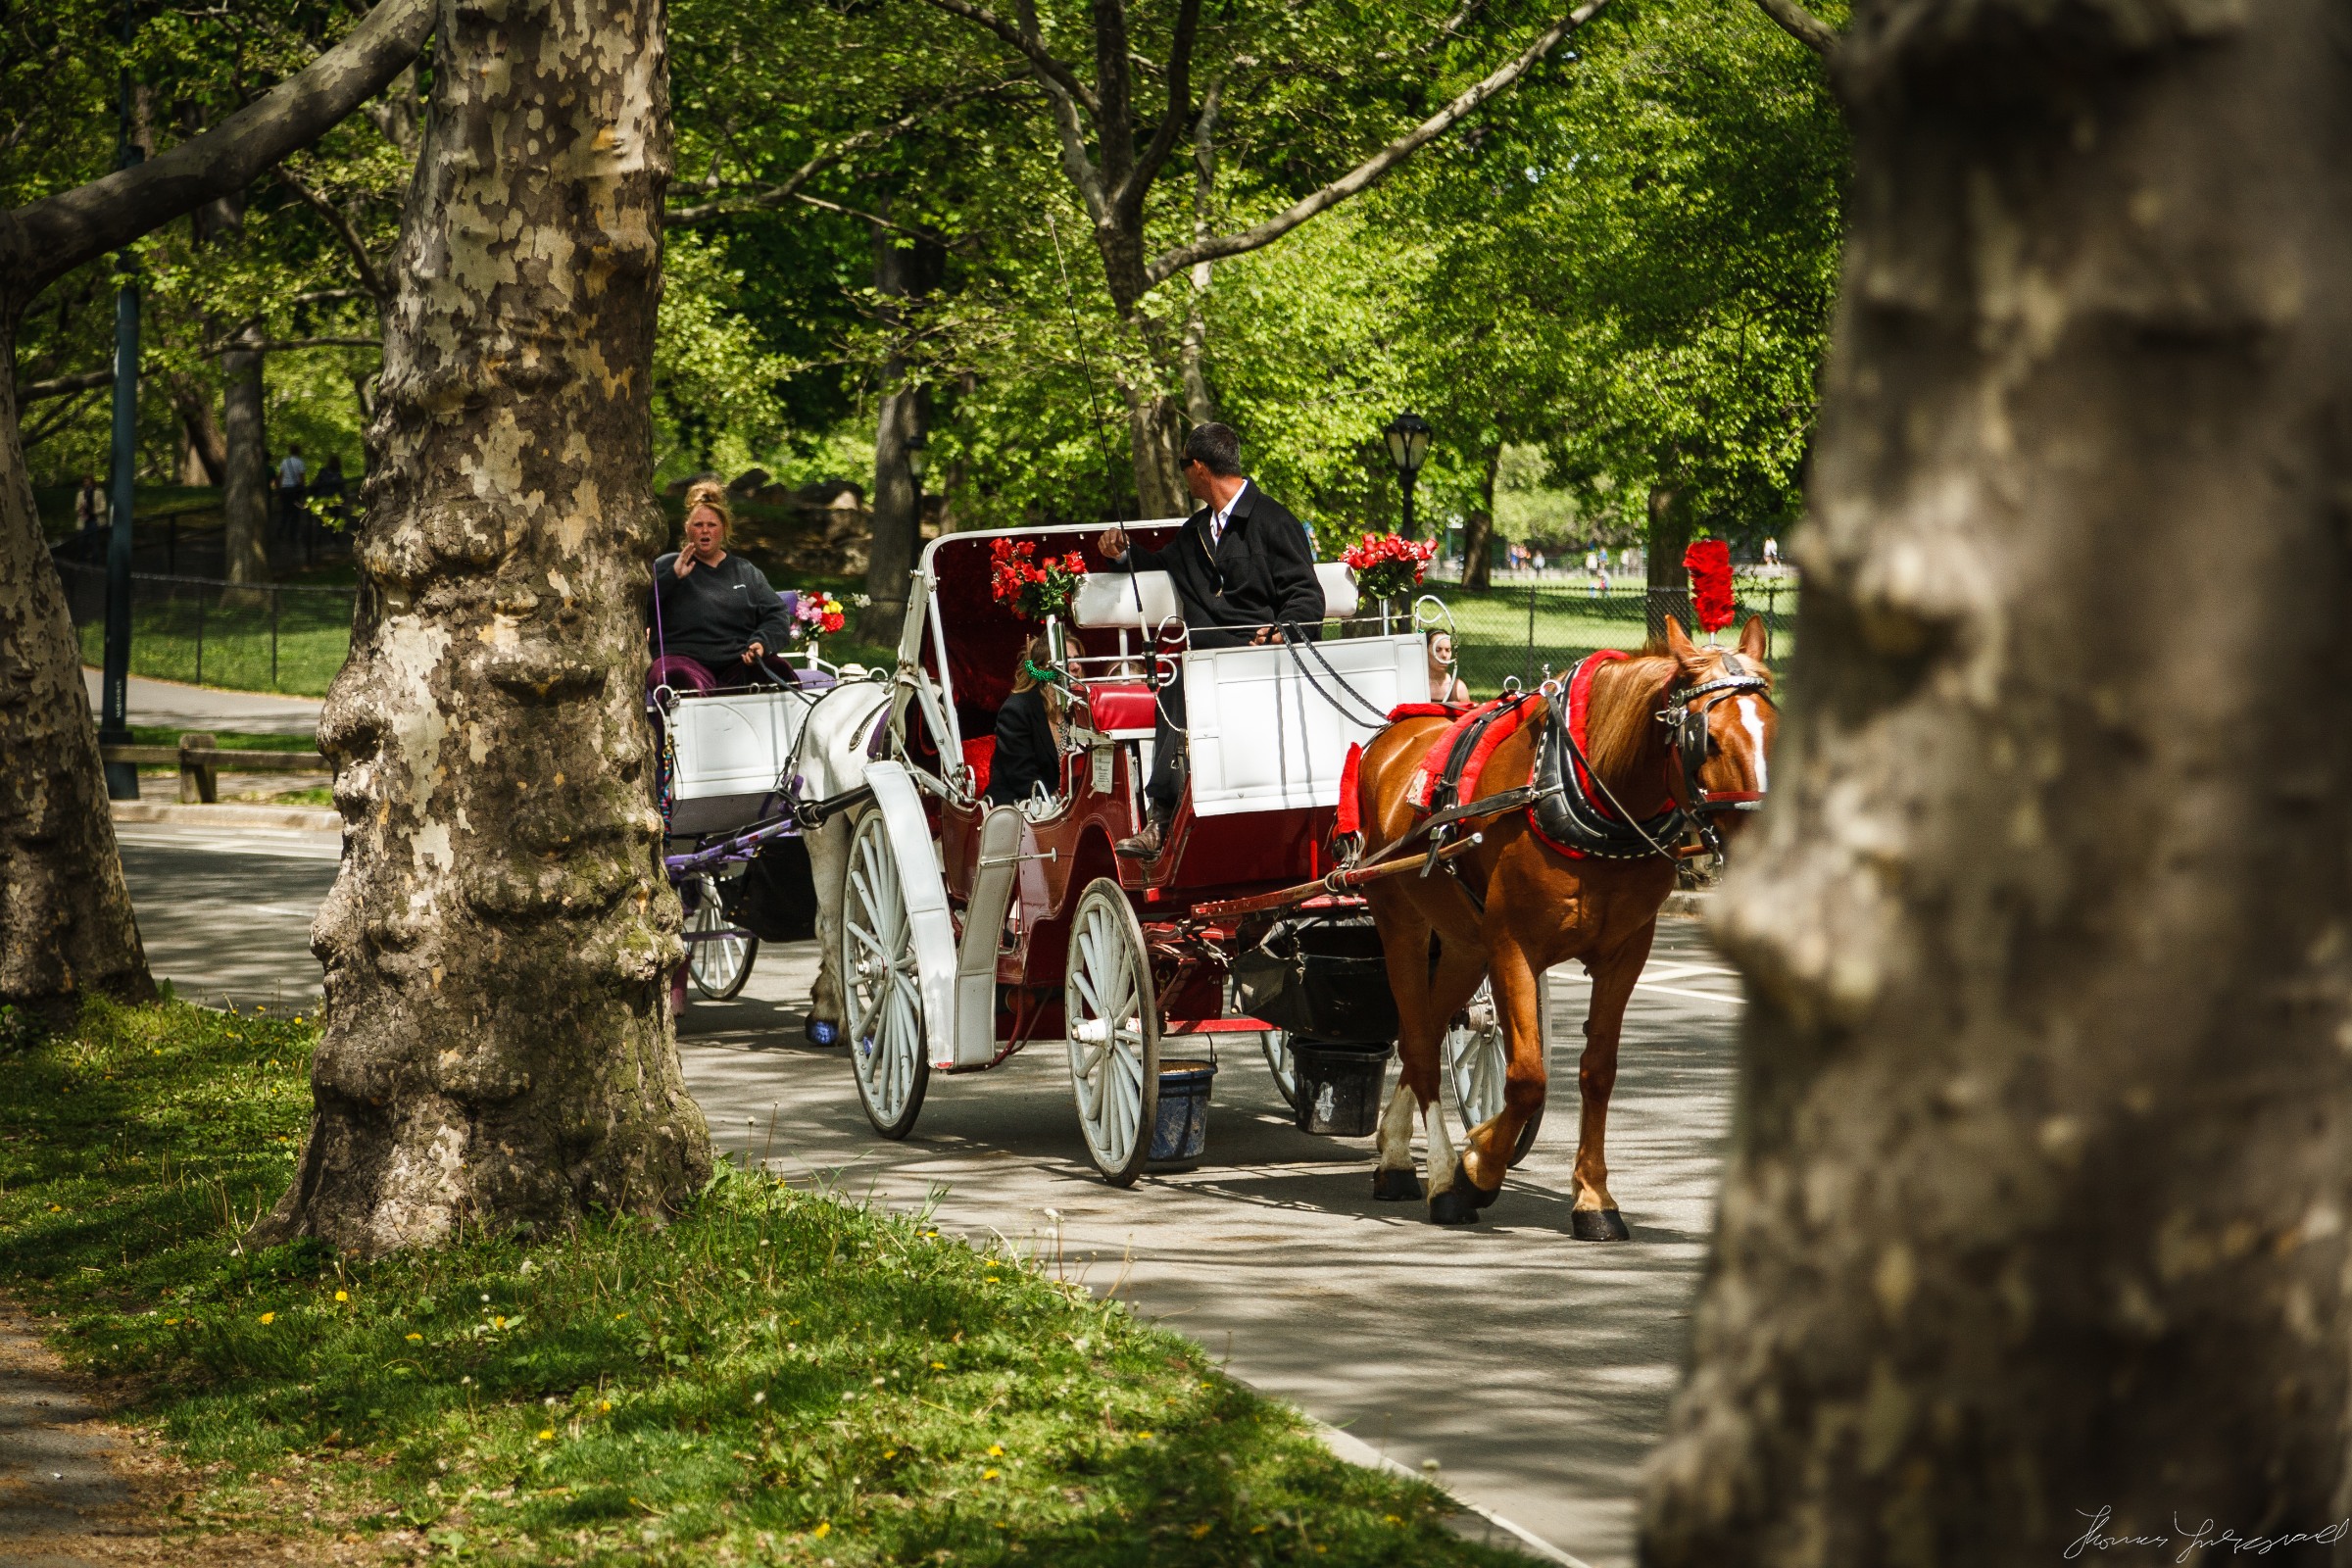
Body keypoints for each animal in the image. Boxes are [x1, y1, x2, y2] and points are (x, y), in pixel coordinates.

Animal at [1354, 615, 1768, 1241]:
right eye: (1709, 740)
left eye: (1774, 728)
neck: (1585, 793)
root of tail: (1391, 733)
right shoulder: (1512, 947)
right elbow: (1527, 1077)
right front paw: (1478, 1168)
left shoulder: (1626, 952)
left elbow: (1598, 1072)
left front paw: (1594, 1198)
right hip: (1399, 921)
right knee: (1423, 1046)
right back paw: (1442, 1175)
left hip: (1462, 943)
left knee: (1418, 1030)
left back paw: (1396, 1155)